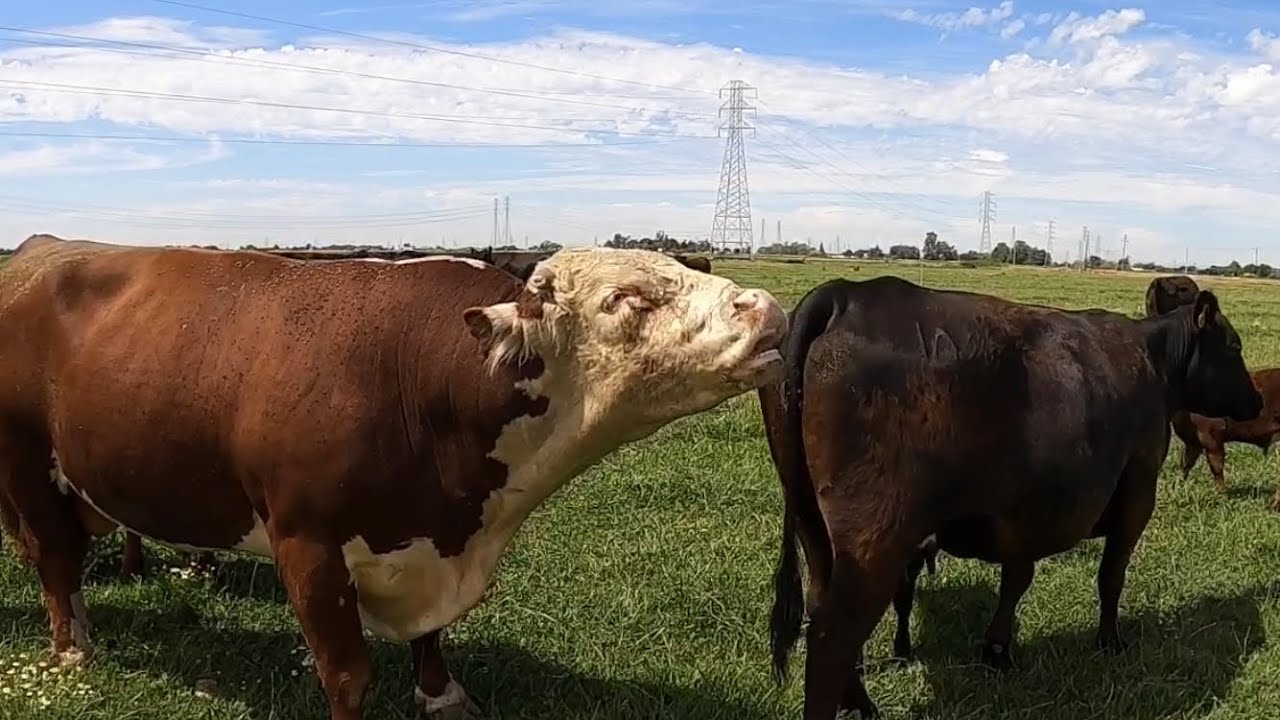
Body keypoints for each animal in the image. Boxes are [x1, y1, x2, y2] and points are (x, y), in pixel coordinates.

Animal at [0, 234, 787, 720]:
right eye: (627, 298)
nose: (765, 307)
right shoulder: (306, 541)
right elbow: (346, 671)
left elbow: (430, 636)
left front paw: (440, 694)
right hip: (28, 465)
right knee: (57, 559)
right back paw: (72, 647)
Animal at [759, 275, 1261, 720]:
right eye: (1234, 347)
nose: (1256, 401)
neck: (1153, 359)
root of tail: (845, 294)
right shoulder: (1137, 491)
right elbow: (1110, 577)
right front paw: (1110, 641)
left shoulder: (1027, 512)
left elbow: (1016, 579)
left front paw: (997, 649)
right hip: (875, 542)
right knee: (832, 637)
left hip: (813, 526)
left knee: (820, 607)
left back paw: (859, 701)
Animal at [1171, 368, 1280, 509]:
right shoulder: (1193, 442)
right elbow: (1185, 465)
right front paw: (1176, 489)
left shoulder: (1210, 435)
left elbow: (1216, 467)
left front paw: (1222, 497)